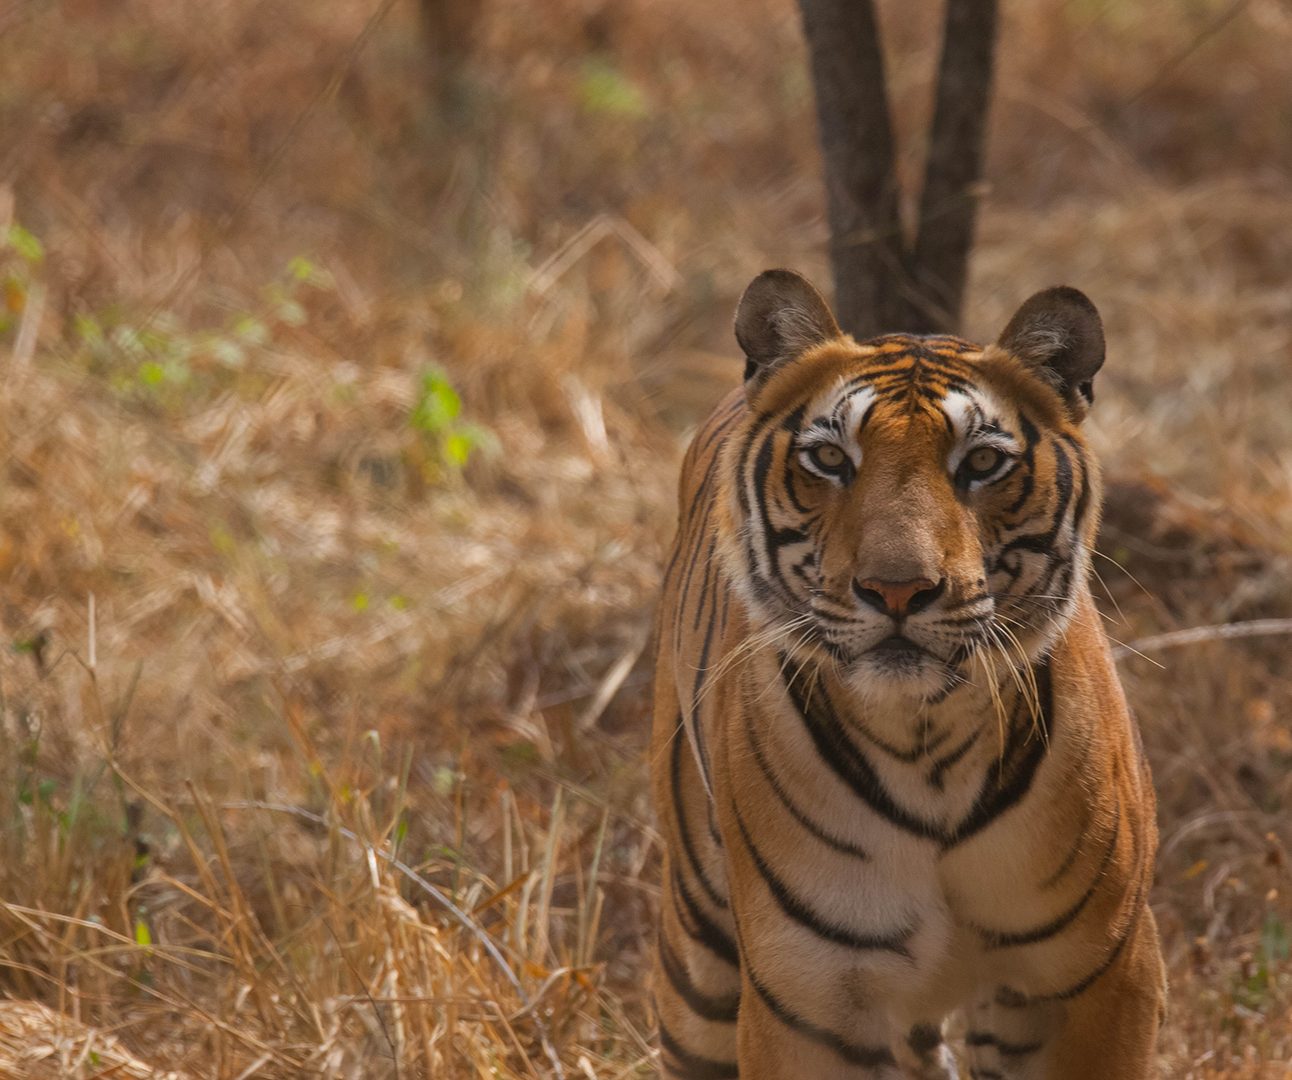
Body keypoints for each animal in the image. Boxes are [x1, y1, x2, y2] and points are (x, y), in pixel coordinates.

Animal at [651, 272, 1167, 1080]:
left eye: (982, 464)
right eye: (830, 459)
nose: (897, 590)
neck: (927, 741)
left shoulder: (1105, 974)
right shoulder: (806, 1001)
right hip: (698, 956)